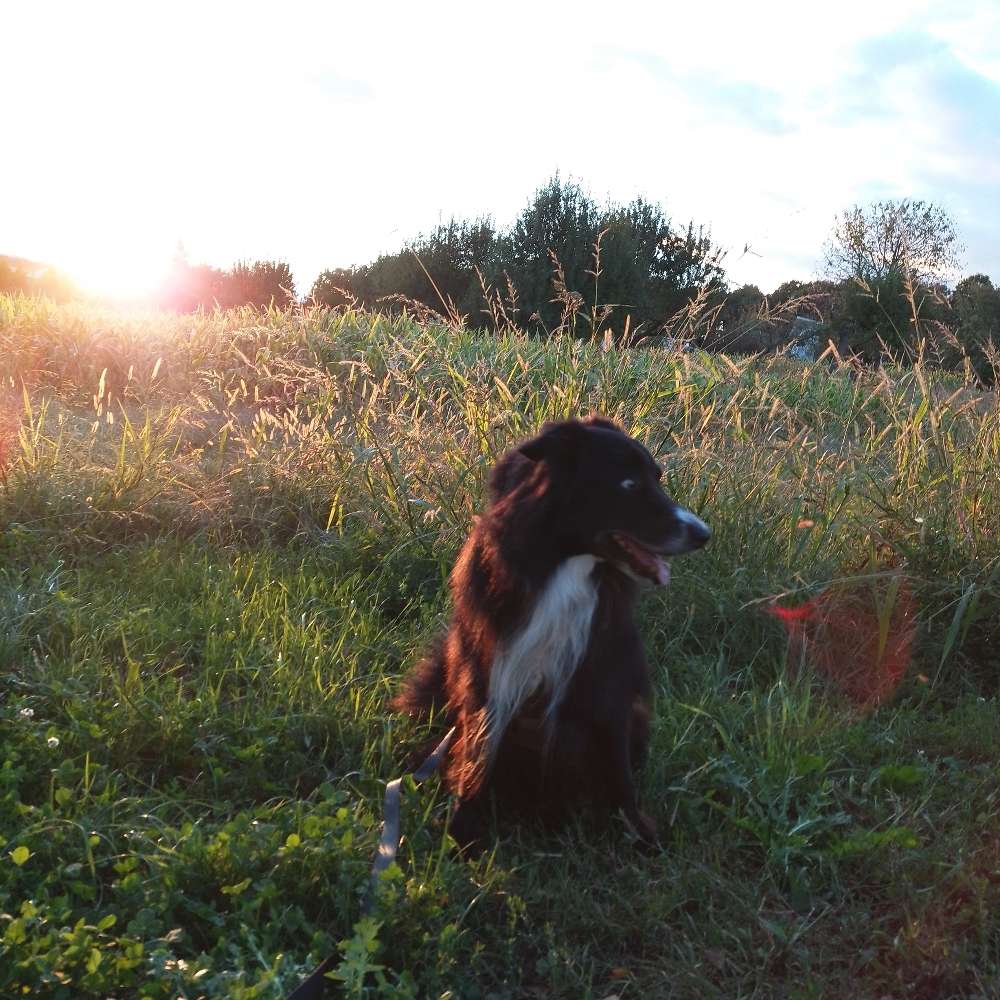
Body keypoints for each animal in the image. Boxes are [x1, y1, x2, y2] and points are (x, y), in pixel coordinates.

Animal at [392, 418, 712, 848]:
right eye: (629, 485)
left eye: (658, 479)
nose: (703, 534)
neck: (564, 567)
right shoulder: (493, 674)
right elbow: (479, 754)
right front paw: (462, 833)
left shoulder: (605, 675)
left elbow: (619, 767)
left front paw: (639, 833)